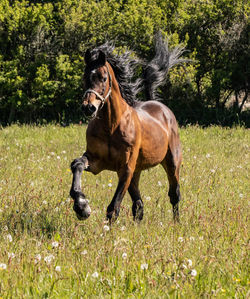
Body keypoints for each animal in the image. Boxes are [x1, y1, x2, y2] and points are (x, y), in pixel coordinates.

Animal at [69, 34, 185, 224]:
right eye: (84, 77)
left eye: (103, 78)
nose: (88, 108)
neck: (111, 126)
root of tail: (161, 107)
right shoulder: (96, 161)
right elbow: (77, 164)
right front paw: (82, 206)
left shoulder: (125, 168)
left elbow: (113, 208)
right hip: (136, 172)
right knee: (138, 205)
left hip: (172, 163)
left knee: (174, 195)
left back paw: (176, 223)